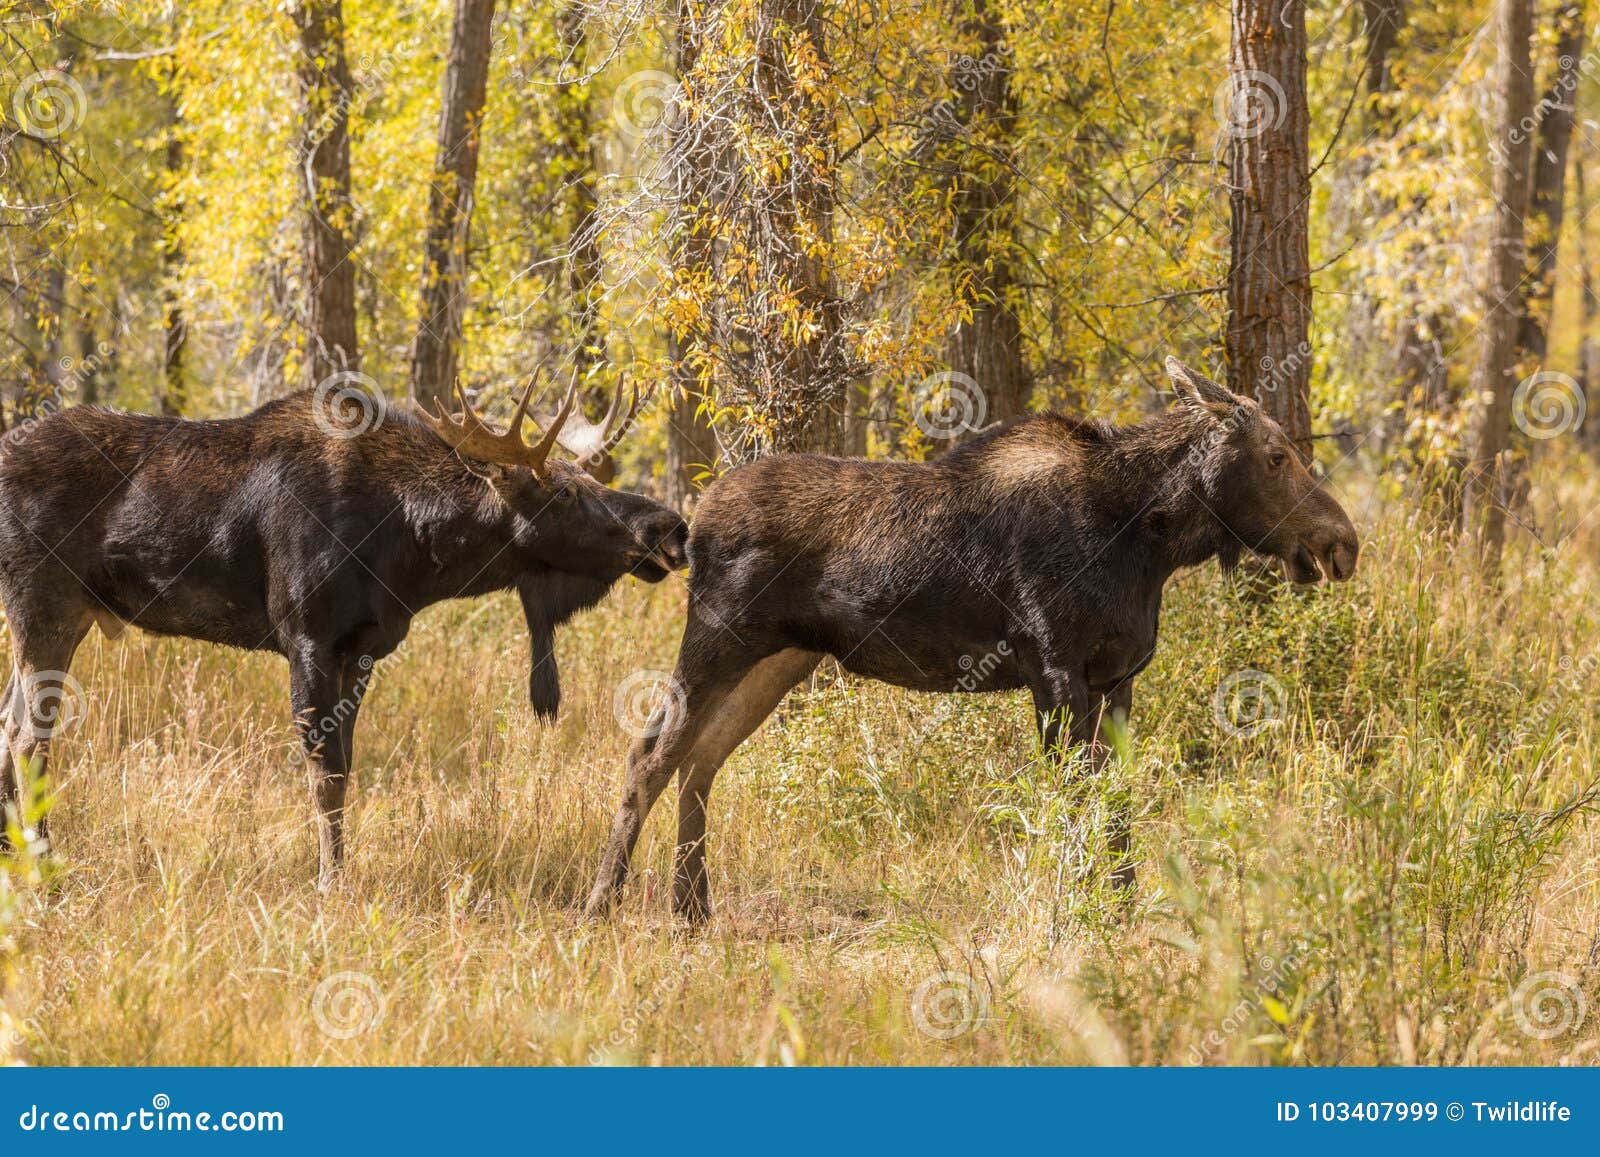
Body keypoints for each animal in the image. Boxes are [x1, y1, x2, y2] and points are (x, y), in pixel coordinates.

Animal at [0, 376, 688, 883]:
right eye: (565, 494)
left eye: (590, 480)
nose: (670, 527)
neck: (411, 548)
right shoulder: (306, 637)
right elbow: (324, 768)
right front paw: (330, 881)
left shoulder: (364, 648)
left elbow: (348, 764)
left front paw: (340, 869)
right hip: (44, 604)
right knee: (31, 735)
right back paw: (43, 862)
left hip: (60, 616)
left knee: (13, 722)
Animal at [588, 356, 1363, 928]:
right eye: (1276, 456)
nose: (1343, 542)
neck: (1148, 541)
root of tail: (693, 522)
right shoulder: (1053, 666)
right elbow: (1071, 799)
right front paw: (1075, 905)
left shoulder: (1117, 677)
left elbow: (1114, 800)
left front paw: (1120, 905)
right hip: (719, 638)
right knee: (649, 755)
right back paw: (603, 905)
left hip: (780, 659)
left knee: (701, 761)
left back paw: (693, 908)